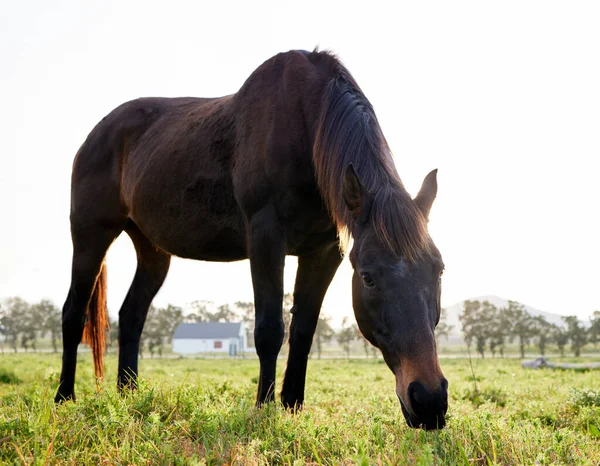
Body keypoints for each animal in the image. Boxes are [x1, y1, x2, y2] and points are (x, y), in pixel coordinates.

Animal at [56, 50, 448, 430]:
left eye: (439, 270)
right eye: (368, 277)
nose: (429, 399)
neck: (307, 127)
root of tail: (96, 135)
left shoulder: (324, 252)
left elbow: (303, 331)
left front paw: (293, 406)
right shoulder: (266, 239)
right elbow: (270, 329)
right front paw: (264, 408)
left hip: (152, 250)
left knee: (132, 315)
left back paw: (129, 396)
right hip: (91, 235)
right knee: (74, 313)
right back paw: (65, 398)